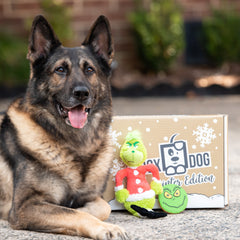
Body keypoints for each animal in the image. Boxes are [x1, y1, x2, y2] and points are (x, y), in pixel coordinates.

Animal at [0, 15, 127, 239]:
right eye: (60, 70)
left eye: (89, 69)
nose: (81, 93)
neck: (76, 145)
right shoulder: (25, 207)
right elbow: (75, 214)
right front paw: (105, 227)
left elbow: (104, 207)